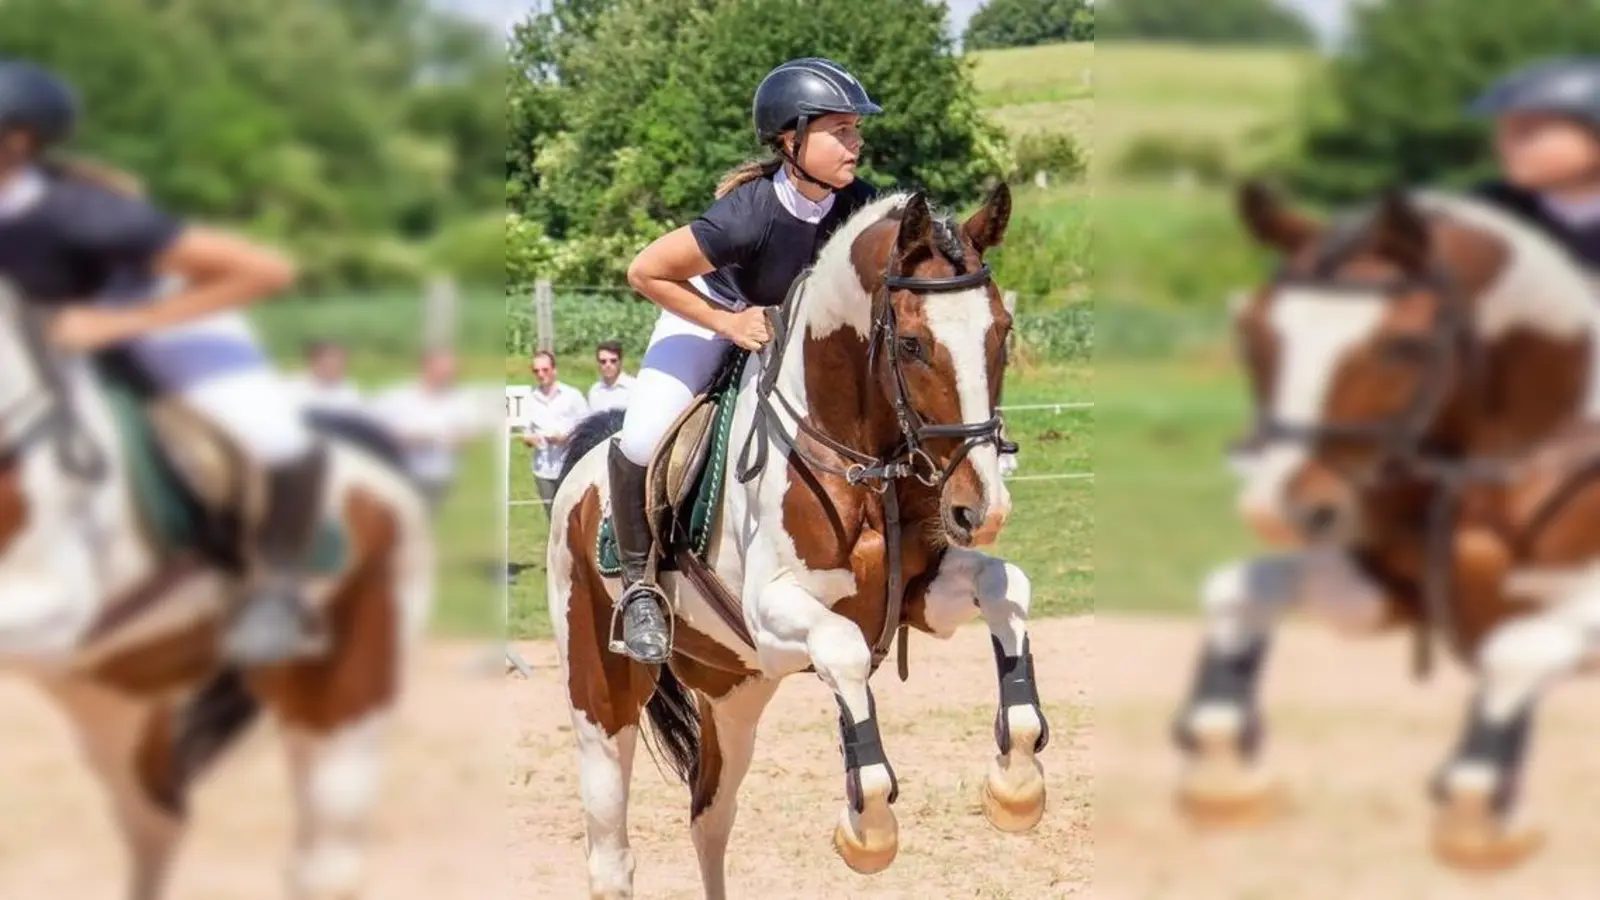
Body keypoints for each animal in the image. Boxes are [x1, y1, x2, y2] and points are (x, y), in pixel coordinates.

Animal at [0, 281, 435, 896]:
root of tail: (382, 471)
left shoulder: (55, 601)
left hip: (344, 690)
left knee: (325, 860)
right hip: (112, 696)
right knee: (157, 821)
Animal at [547, 184, 1049, 896]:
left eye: (1002, 332)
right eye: (913, 345)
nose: (980, 508)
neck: (857, 455)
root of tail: (579, 473)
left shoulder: (917, 596)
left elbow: (1006, 586)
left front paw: (1016, 785)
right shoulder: (774, 614)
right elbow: (843, 653)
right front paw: (869, 827)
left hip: (737, 689)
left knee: (709, 818)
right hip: (601, 695)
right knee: (610, 852)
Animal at [1164, 180, 1600, 871]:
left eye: (1404, 347)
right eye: (1254, 333)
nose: (1275, 510)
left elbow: (1518, 651)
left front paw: (1476, 804)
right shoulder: (1399, 588)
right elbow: (1242, 588)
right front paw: (1223, 765)